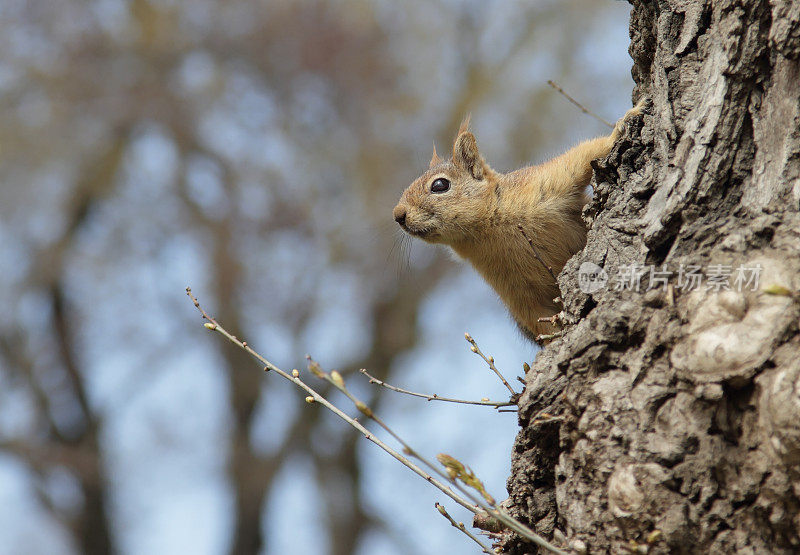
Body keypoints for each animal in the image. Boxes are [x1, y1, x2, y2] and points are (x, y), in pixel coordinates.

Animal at [390, 101, 648, 344]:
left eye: (440, 185)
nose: (398, 215)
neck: (488, 230)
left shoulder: (547, 181)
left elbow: (586, 153)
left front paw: (628, 119)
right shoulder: (518, 293)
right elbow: (539, 319)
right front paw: (555, 339)